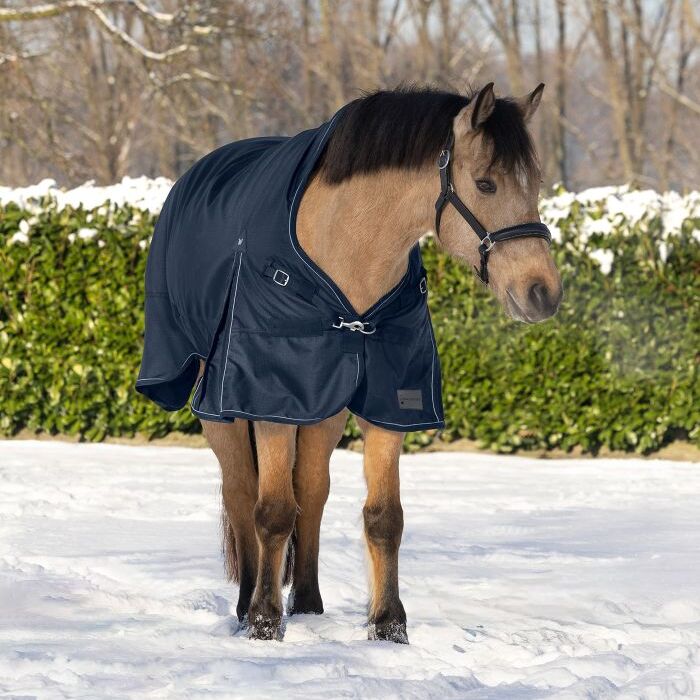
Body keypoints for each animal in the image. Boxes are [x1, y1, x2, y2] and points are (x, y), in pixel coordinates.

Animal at [137, 83, 562, 643]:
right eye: (486, 184)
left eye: (535, 184)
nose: (543, 294)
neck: (348, 252)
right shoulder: (271, 401)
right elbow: (272, 511)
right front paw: (265, 622)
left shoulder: (389, 404)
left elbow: (383, 516)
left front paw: (388, 625)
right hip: (221, 414)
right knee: (242, 493)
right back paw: (246, 604)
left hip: (323, 413)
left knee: (312, 491)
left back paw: (309, 603)